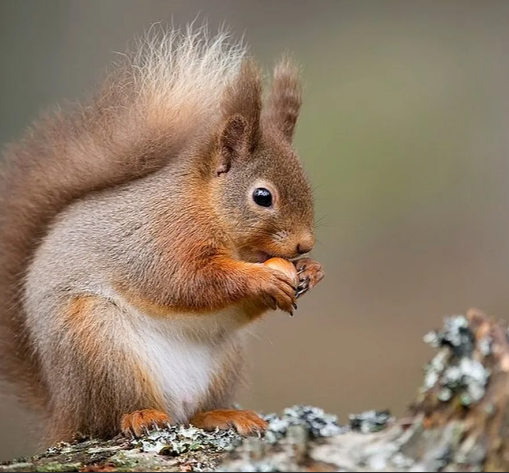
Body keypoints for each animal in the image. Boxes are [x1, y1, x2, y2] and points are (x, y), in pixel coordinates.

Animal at [0, 26, 324, 442]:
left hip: (223, 362)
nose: (305, 244)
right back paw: (140, 416)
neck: (208, 210)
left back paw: (223, 415)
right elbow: (186, 282)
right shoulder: (162, 238)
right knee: (109, 417)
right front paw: (263, 278)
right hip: (96, 343)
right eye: (262, 196)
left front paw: (311, 271)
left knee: (191, 415)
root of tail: (64, 411)